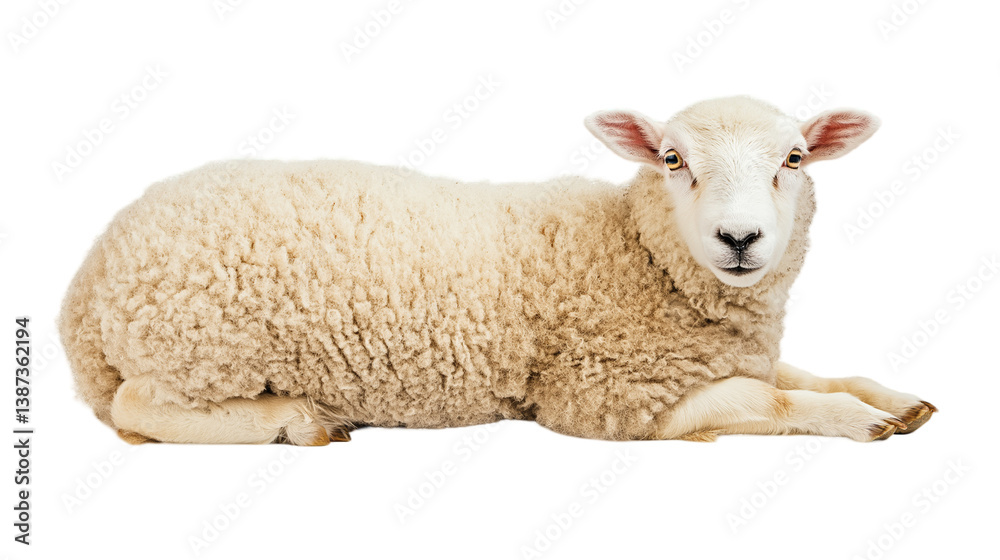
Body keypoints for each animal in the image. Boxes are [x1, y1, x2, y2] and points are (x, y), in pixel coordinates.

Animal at [59, 95, 936, 445]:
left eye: (795, 158)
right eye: (671, 158)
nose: (740, 237)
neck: (638, 253)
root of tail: (91, 275)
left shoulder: (709, 355)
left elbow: (808, 375)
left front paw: (892, 400)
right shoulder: (602, 396)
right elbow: (768, 399)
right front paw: (859, 422)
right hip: (196, 348)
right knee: (138, 408)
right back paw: (299, 420)